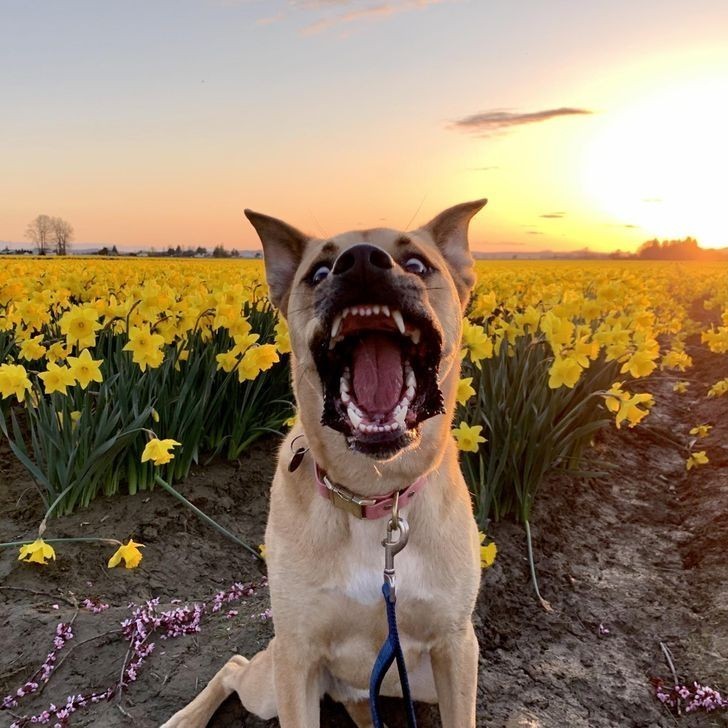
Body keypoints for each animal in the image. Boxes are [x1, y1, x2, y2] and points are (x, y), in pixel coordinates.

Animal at [162, 199, 486, 728]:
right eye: (318, 272)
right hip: (272, 682)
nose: (361, 263)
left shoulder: (457, 648)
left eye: (417, 264)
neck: (372, 494)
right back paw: (187, 717)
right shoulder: (297, 655)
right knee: (233, 666)